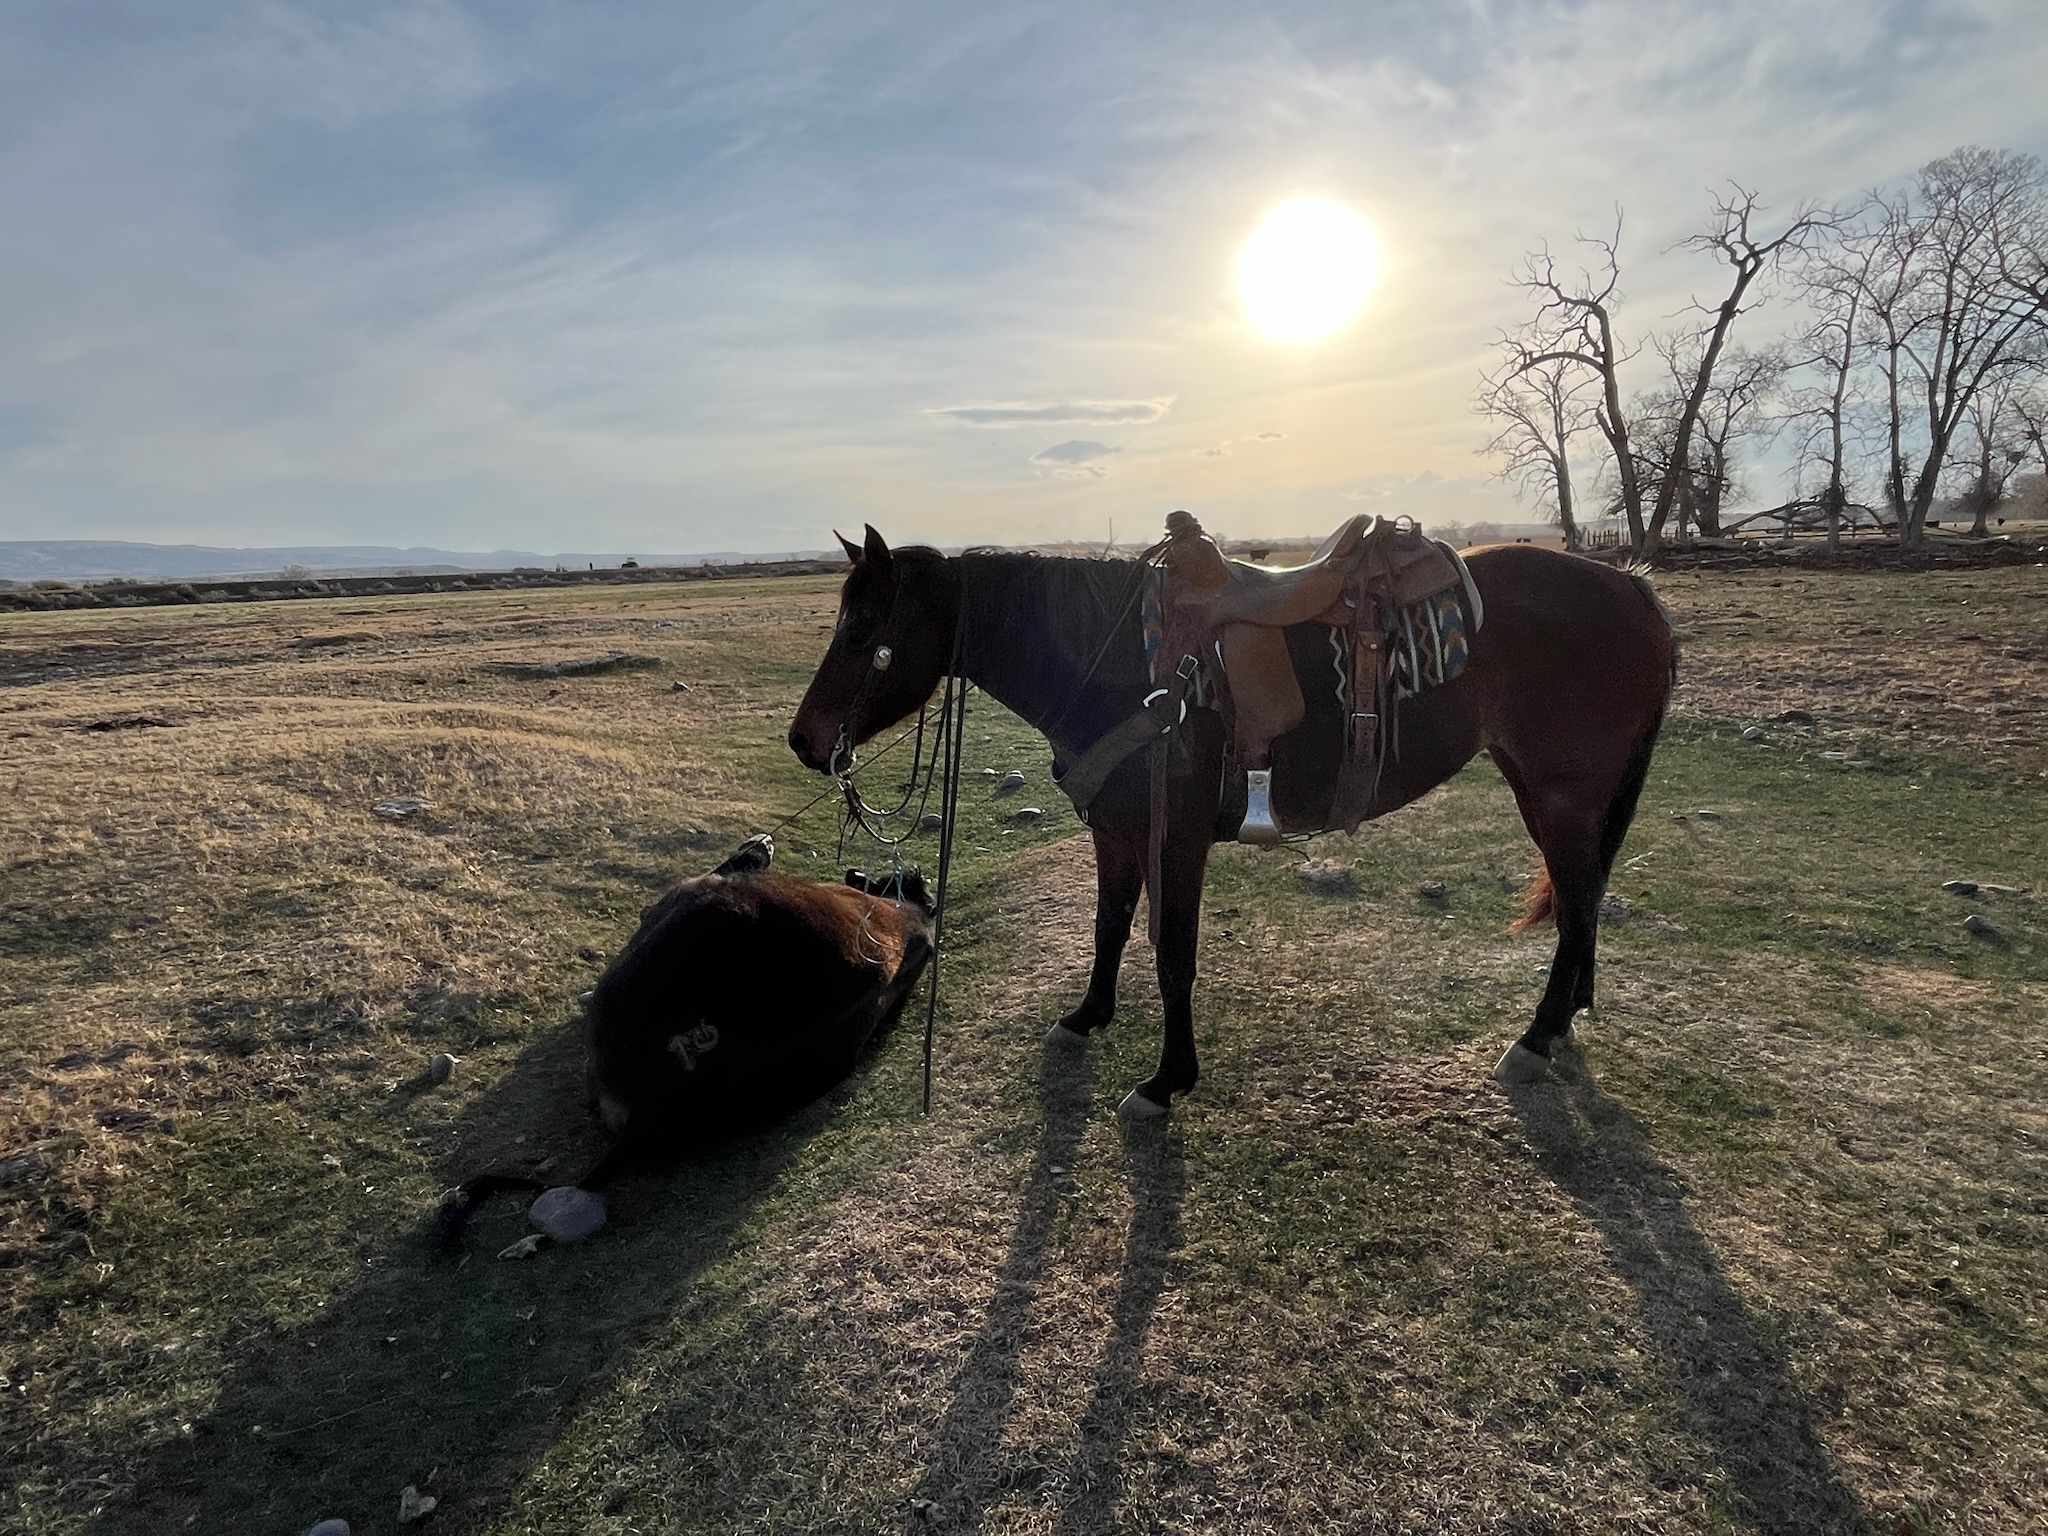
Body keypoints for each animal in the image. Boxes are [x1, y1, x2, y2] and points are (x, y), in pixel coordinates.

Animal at [788, 524, 1676, 1117]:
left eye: (864, 630)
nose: (804, 741)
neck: (1114, 666)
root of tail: (1629, 586)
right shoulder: (1116, 832)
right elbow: (1110, 928)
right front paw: (1087, 1018)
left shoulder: (1176, 840)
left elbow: (1173, 956)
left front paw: (1165, 1081)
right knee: (1582, 901)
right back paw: (1562, 1020)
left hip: (1562, 797)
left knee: (1578, 905)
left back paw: (1536, 1037)